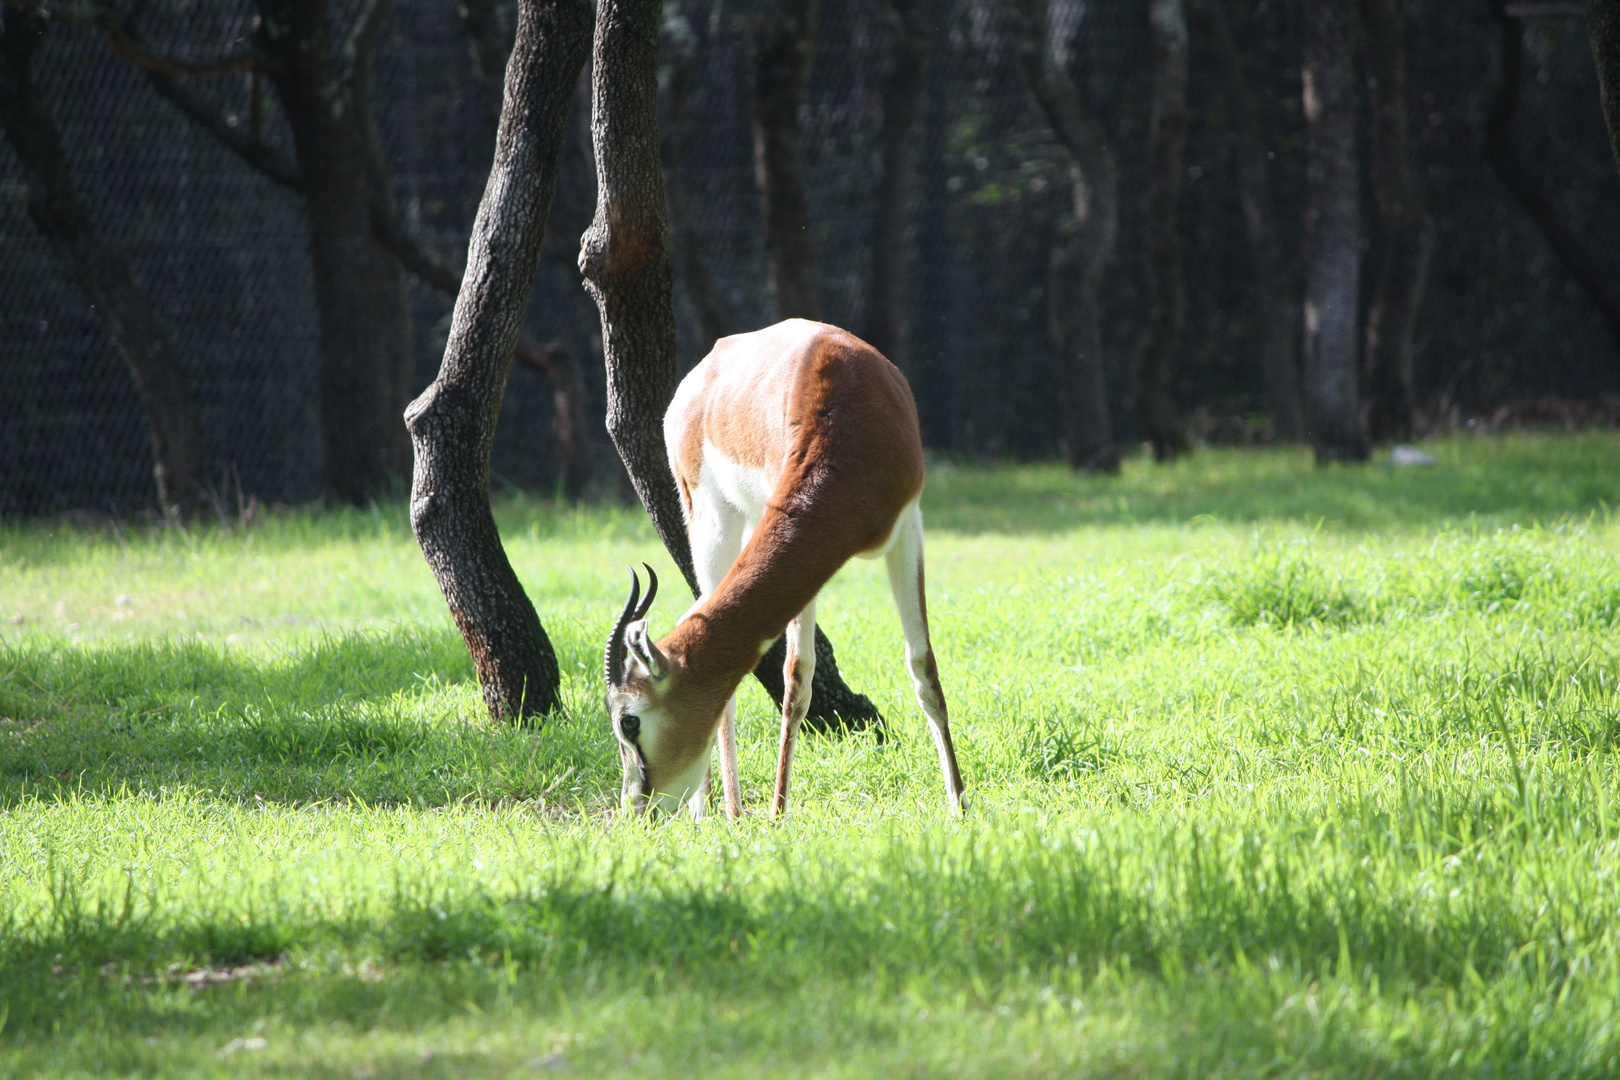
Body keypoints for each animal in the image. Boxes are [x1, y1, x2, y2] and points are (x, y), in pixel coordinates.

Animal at [605, 318, 959, 819]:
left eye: (629, 721)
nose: (636, 807)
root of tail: (699, 375)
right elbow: (797, 676)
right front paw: (777, 813)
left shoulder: (908, 527)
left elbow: (923, 667)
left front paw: (960, 806)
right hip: (710, 522)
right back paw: (722, 810)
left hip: (754, 522)